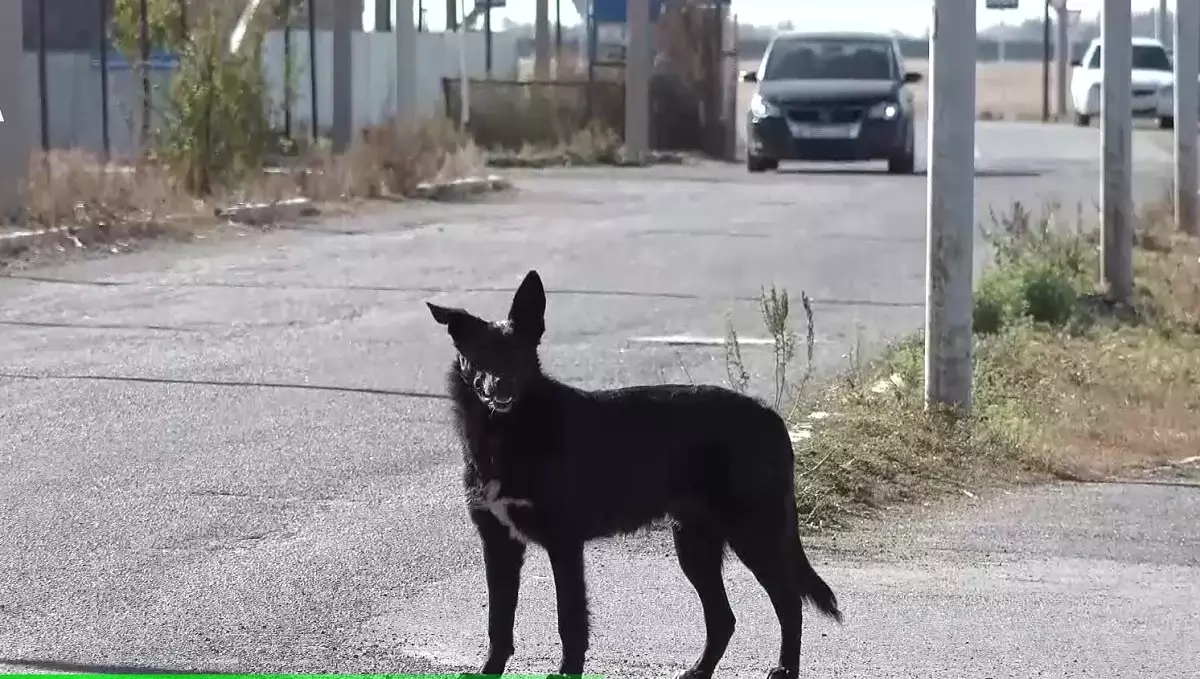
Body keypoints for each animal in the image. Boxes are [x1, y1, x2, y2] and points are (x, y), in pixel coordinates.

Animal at [432, 271, 844, 679]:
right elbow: (498, 621)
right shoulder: (499, 545)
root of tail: (771, 416)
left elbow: (570, 619)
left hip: (752, 533)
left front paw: (568, 671)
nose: (500, 386)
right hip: (695, 544)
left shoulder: (564, 543)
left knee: (789, 603)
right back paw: (699, 670)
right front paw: (489, 670)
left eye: (518, 353)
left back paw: (784, 669)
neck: (508, 431)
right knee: (724, 619)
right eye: (480, 356)